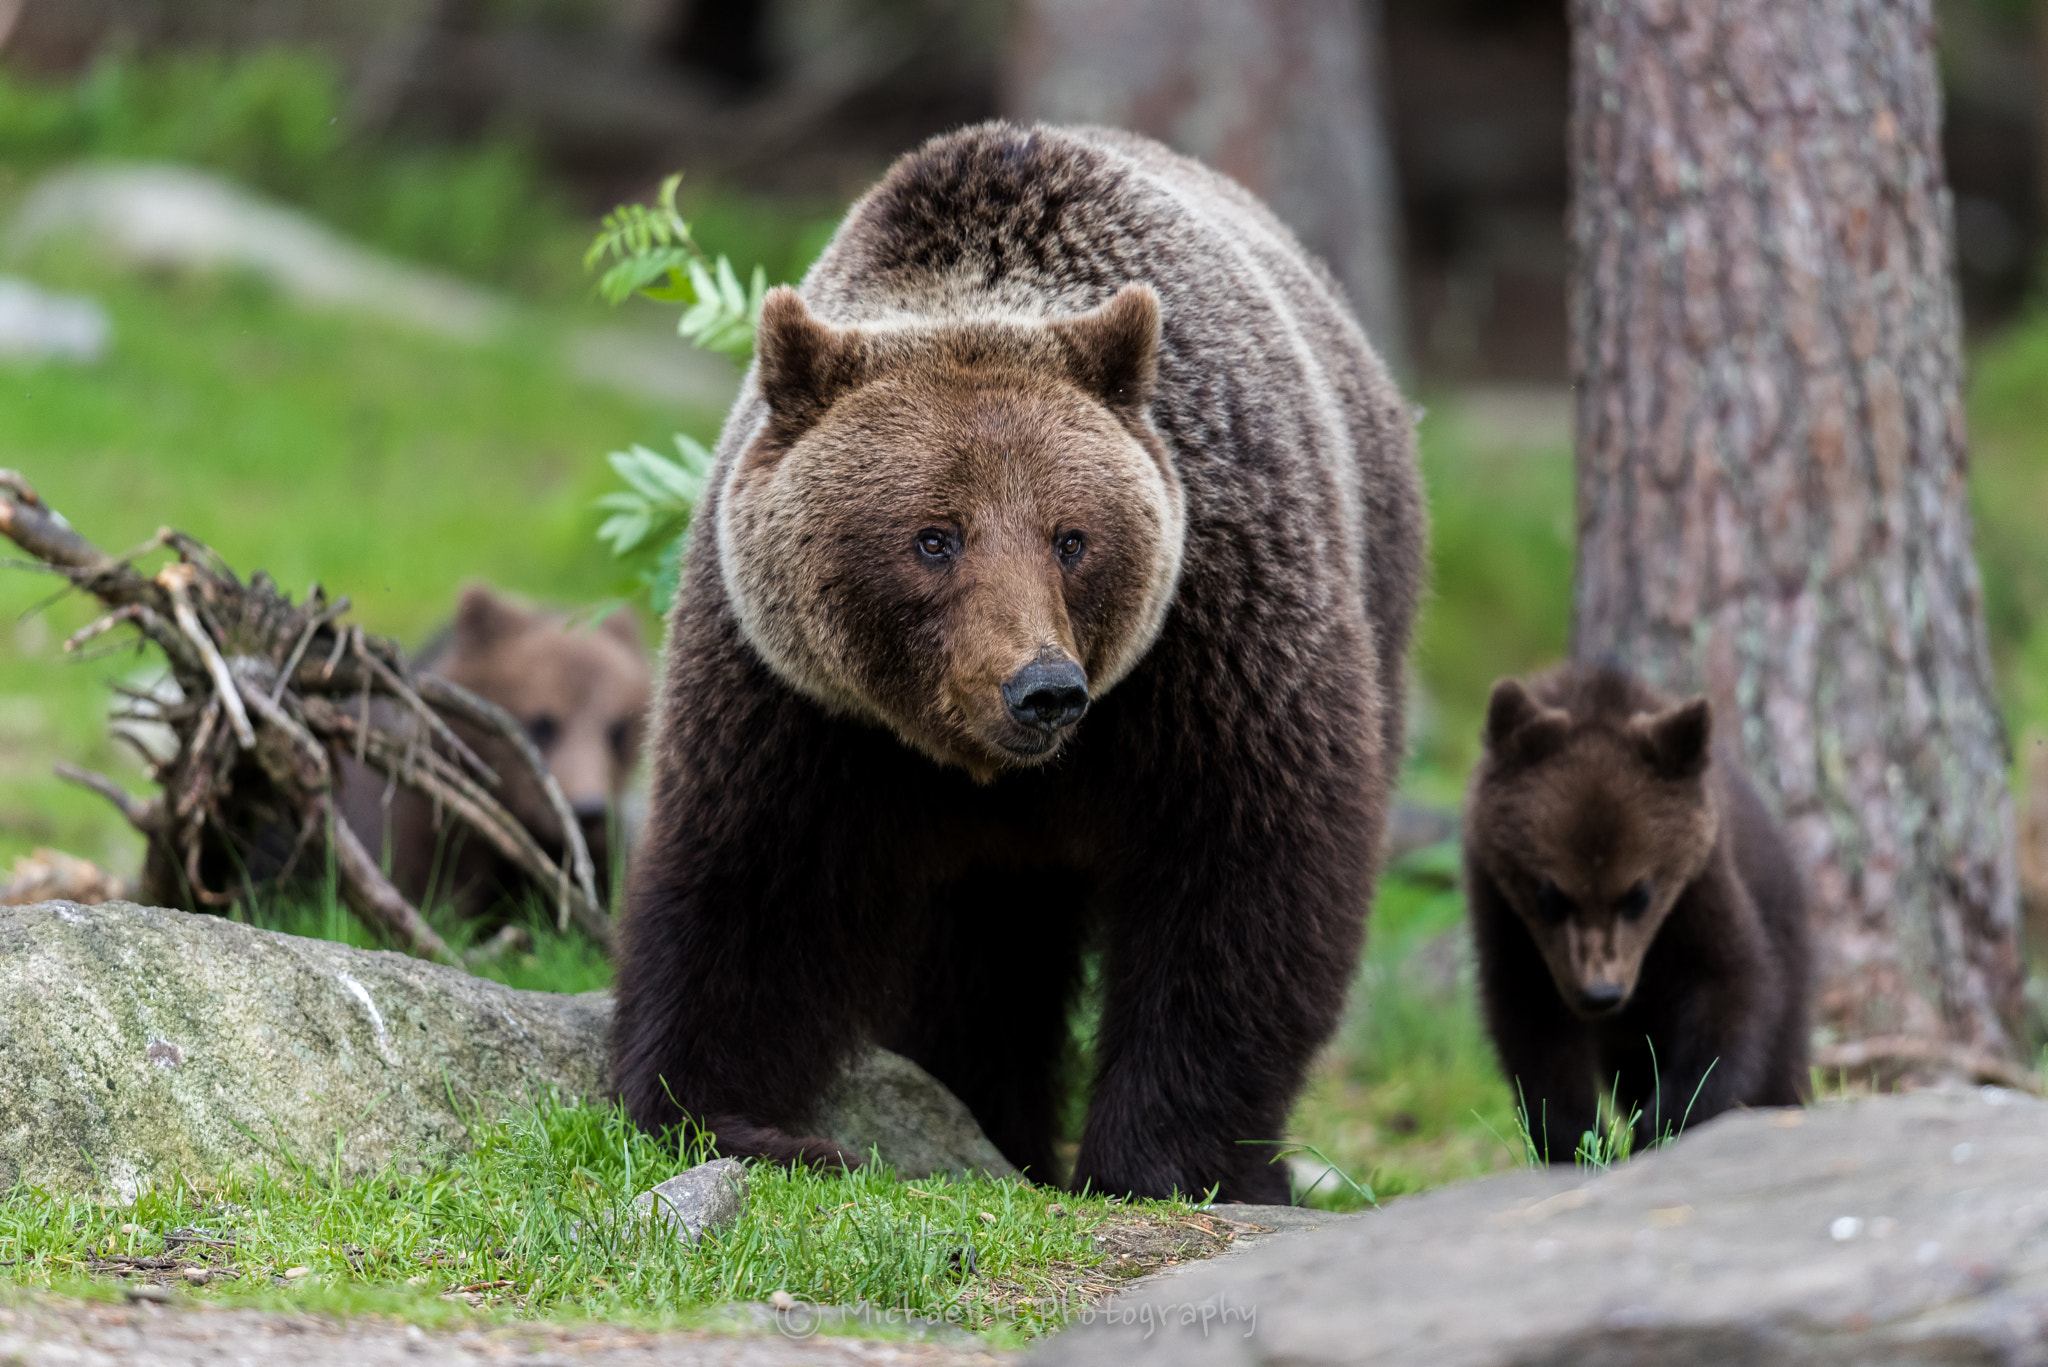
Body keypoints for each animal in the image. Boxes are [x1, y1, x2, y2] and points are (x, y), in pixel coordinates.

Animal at [606, 122, 1425, 1205]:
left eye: (1071, 537)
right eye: (933, 537)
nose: (1043, 689)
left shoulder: (1218, 639)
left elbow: (1245, 876)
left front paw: (1162, 1158)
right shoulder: (798, 702)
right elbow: (757, 881)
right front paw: (730, 1113)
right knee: (977, 967)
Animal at [1458, 668, 1810, 1164]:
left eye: (1638, 894)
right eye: (1550, 894)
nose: (1600, 993)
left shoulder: (1700, 886)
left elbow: (1732, 987)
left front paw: (1665, 1123)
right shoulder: (1504, 913)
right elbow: (1531, 1026)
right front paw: (1581, 1142)